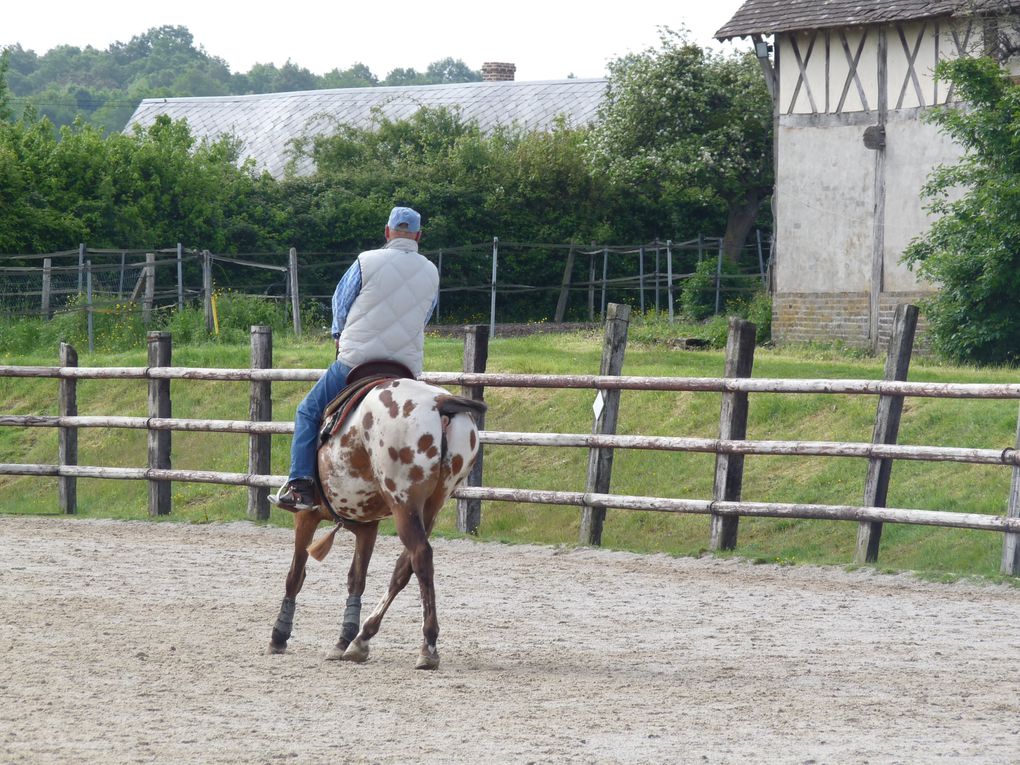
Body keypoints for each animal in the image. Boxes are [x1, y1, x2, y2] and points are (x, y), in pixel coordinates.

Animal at [265, 377, 483, 669]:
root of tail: (440, 402)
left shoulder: (306, 515)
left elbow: (295, 576)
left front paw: (279, 635)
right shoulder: (368, 527)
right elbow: (356, 579)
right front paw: (343, 639)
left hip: (403, 503)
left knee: (420, 556)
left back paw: (427, 647)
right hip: (431, 506)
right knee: (404, 566)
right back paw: (361, 639)